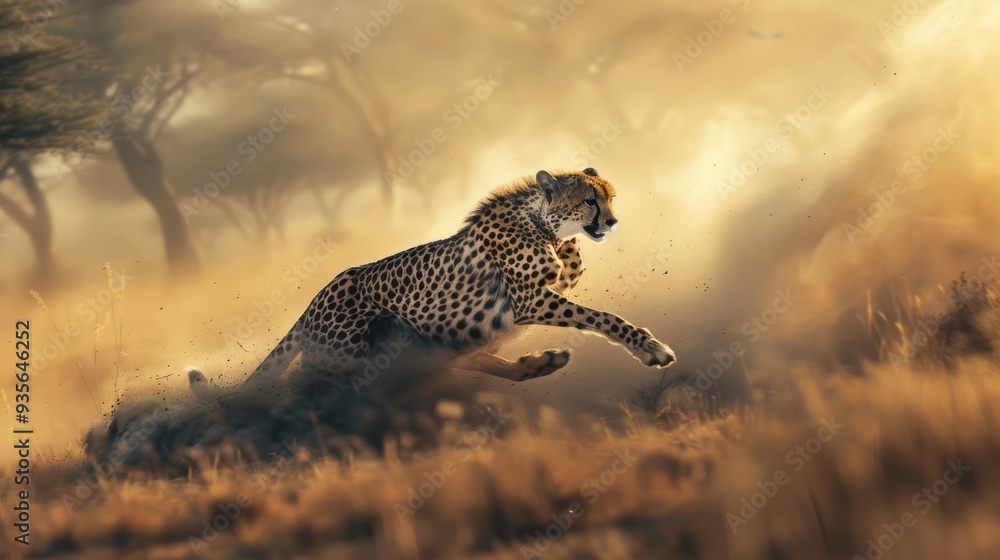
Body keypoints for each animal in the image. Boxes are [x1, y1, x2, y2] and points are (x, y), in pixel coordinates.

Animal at [190, 168, 676, 406]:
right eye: (590, 200)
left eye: (610, 197)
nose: (612, 222)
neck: (541, 223)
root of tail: (314, 300)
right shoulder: (528, 300)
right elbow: (601, 316)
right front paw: (650, 347)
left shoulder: (547, 285)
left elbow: (574, 270)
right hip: (346, 356)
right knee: (301, 395)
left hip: (420, 341)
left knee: (465, 359)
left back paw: (539, 364)